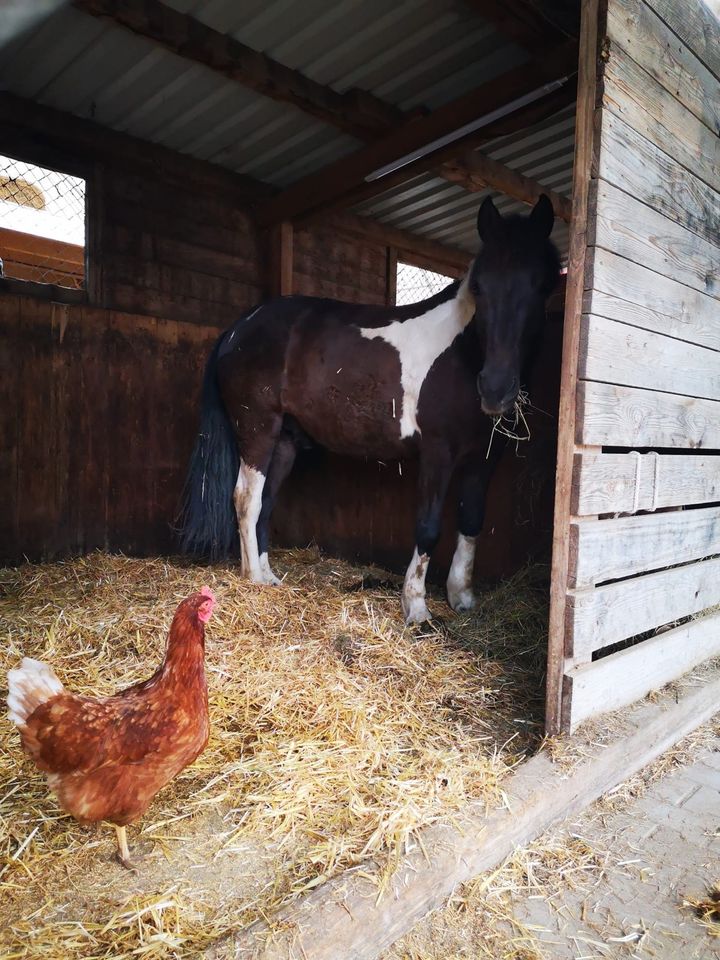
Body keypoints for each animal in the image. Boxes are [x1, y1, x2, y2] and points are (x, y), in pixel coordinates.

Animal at [181, 197, 564, 624]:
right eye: (479, 287)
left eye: (543, 285)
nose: (496, 389)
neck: (462, 354)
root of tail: (237, 329)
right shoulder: (437, 452)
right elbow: (429, 527)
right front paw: (416, 608)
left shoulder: (485, 456)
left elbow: (471, 521)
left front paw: (461, 597)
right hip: (257, 429)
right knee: (246, 499)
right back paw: (253, 583)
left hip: (284, 441)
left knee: (265, 502)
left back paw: (269, 579)